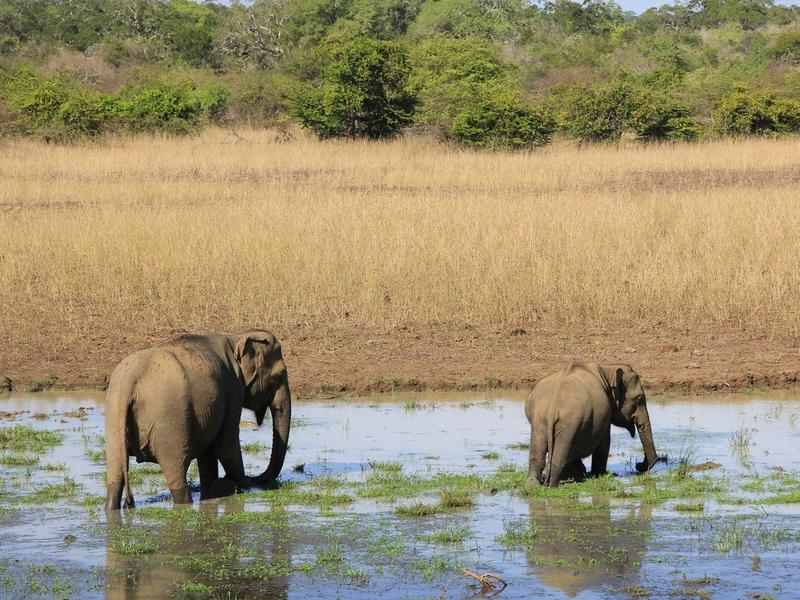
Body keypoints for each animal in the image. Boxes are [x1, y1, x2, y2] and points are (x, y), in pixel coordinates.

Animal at [104, 329, 291, 510]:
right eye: (279, 376)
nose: (255, 479)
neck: (235, 337)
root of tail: (130, 382)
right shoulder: (232, 389)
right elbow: (226, 447)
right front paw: (238, 483)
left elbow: (208, 452)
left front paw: (213, 491)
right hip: (169, 423)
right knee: (177, 473)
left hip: (114, 416)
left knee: (115, 474)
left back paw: (111, 508)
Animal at [525, 362, 657, 487]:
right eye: (639, 399)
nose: (638, 465)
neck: (607, 370)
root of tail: (552, 409)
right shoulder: (605, 415)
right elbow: (604, 444)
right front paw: (600, 475)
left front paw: (581, 473)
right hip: (570, 423)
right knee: (560, 454)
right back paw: (552, 485)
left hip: (539, 421)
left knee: (538, 451)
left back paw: (534, 484)